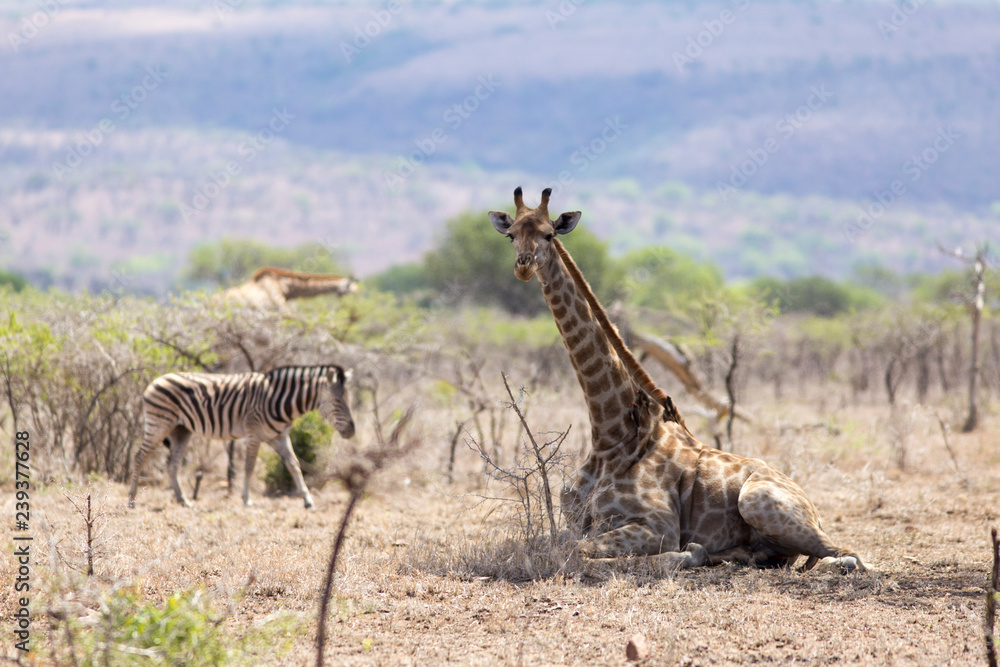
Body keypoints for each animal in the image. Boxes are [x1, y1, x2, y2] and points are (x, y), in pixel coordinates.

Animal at [489, 187, 865, 572]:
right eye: (511, 235)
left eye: (549, 234)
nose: (523, 265)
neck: (610, 435)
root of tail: (810, 503)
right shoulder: (575, 523)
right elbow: (530, 545)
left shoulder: (659, 527)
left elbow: (582, 554)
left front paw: (689, 553)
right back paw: (738, 554)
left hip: (757, 500)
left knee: (846, 555)